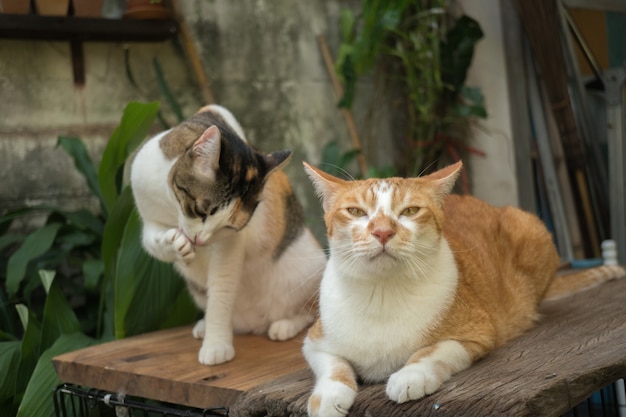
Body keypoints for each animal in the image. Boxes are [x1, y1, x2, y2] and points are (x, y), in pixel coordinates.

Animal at [132, 105, 326, 366]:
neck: (171, 206)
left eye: (229, 227)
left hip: (310, 268)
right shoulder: (148, 217)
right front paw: (176, 245)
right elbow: (152, 242)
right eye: (201, 211)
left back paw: (284, 325)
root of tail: (255, 323)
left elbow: (221, 291)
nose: (201, 240)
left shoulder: (230, 245)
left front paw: (216, 345)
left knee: (310, 312)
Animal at [300, 160, 620, 416]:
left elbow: (434, 350)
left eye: (410, 211)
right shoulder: (314, 341)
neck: (382, 292)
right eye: (355, 211)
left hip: (531, 227)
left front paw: (410, 376)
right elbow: (334, 366)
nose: (382, 232)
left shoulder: (477, 333)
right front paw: (327, 397)